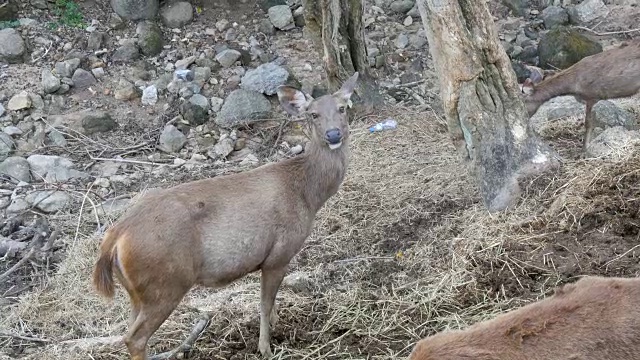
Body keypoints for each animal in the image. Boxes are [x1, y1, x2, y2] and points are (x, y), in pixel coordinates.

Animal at [93, 71, 360, 358]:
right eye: (313, 114)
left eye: (342, 108)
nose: (333, 134)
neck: (307, 194)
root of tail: (115, 238)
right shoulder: (278, 254)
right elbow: (264, 304)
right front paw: (265, 348)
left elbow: (271, 303)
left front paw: (276, 325)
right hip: (166, 283)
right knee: (135, 337)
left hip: (137, 291)